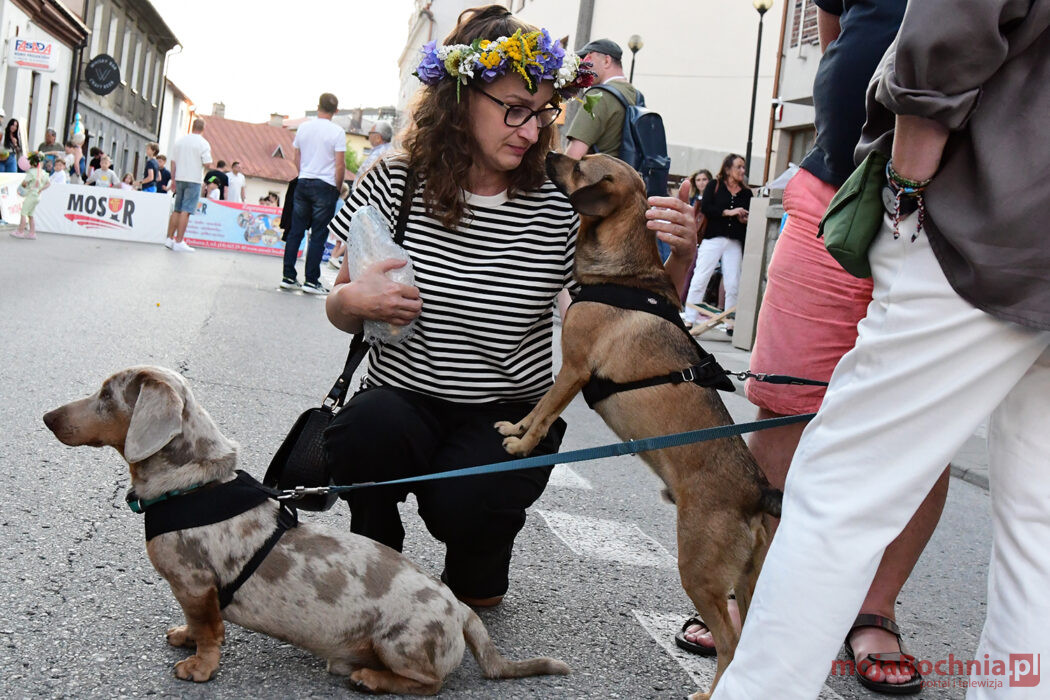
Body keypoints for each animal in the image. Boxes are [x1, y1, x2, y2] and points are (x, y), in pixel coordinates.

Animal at [43, 366, 569, 694]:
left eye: (107, 395)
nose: (47, 418)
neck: (193, 485)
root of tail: (460, 611)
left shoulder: (196, 585)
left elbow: (210, 630)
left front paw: (200, 666)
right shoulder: (192, 593)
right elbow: (194, 624)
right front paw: (185, 637)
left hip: (399, 644)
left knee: (431, 684)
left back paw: (371, 680)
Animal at [495, 153, 780, 700]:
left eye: (580, 165)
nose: (550, 152)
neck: (625, 273)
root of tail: (758, 492)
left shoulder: (574, 369)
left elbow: (545, 410)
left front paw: (522, 445)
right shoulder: (569, 371)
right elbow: (536, 409)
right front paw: (514, 429)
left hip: (699, 571)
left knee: (730, 644)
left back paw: (710, 692)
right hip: (747, 580)